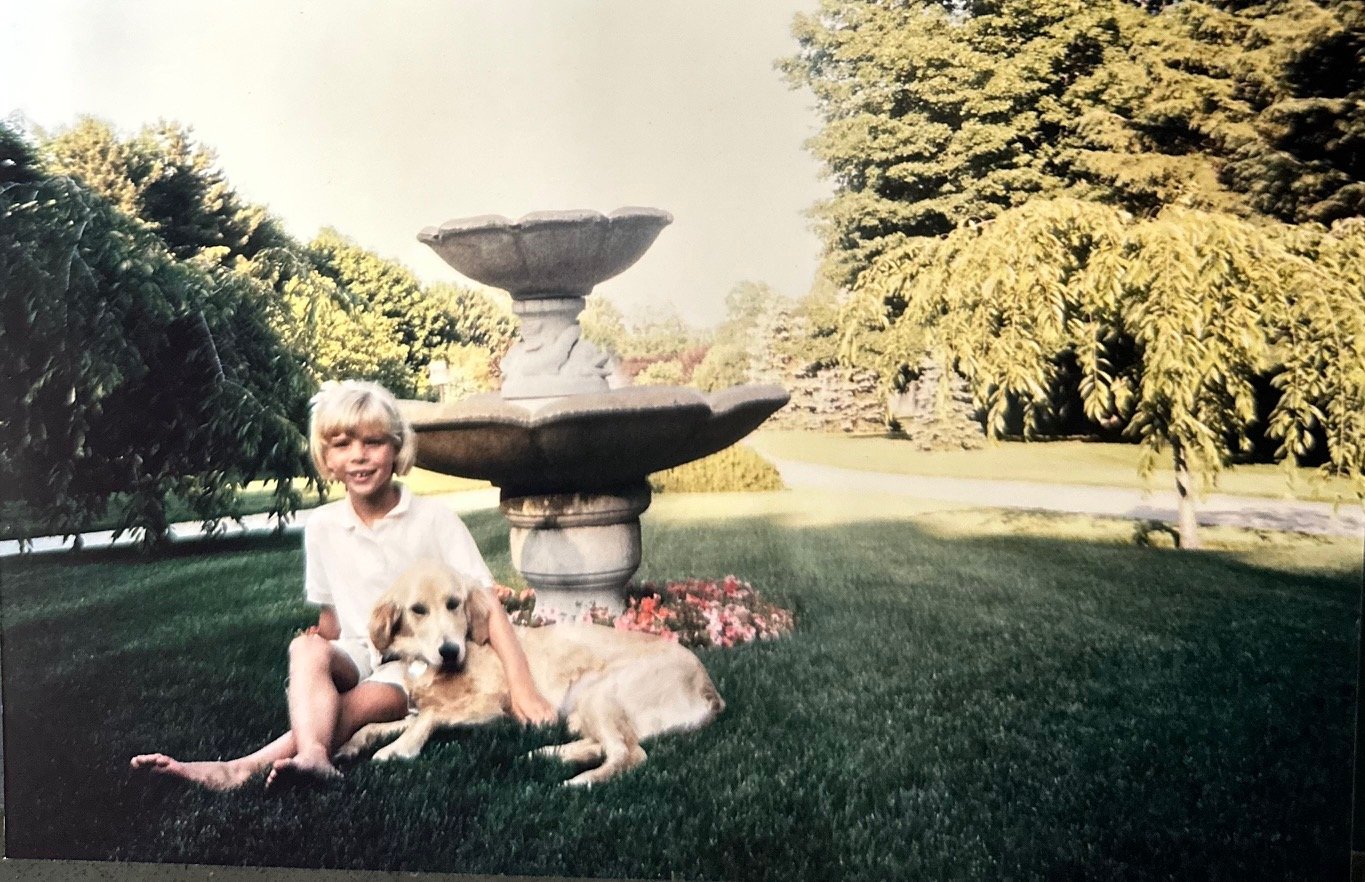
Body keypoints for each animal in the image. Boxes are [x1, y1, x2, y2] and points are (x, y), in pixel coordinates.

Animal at [335, 560, 725, 786]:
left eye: (453, 604)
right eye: (418, 610)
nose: (450, 651)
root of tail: (710, 688)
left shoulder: (493, 706)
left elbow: (429, 716)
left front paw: (398, 749)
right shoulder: (419, 707)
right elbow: (375, 725)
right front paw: (350, 745)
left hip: (600, 693)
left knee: (629, 754)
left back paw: (579, 780)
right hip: (581, 709)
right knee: (603, 744)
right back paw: (548, 754)